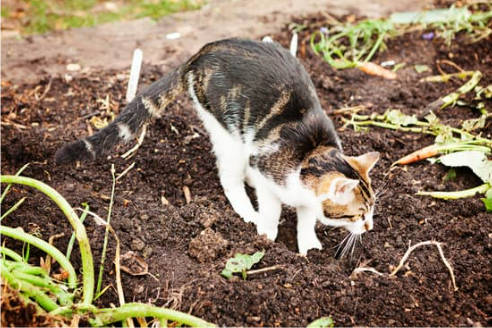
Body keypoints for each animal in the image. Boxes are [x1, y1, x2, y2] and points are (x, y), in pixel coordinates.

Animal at [57, 37, 380, 255]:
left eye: (372, 210)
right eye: (358, 214)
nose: (370, 227)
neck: (310, 153)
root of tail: (203, 51)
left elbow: (306, 217)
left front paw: (308, 244)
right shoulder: (269, 174)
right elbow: (272, 209)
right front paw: (266, 233)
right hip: (225, 127)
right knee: (229, 175)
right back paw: (247, 210)